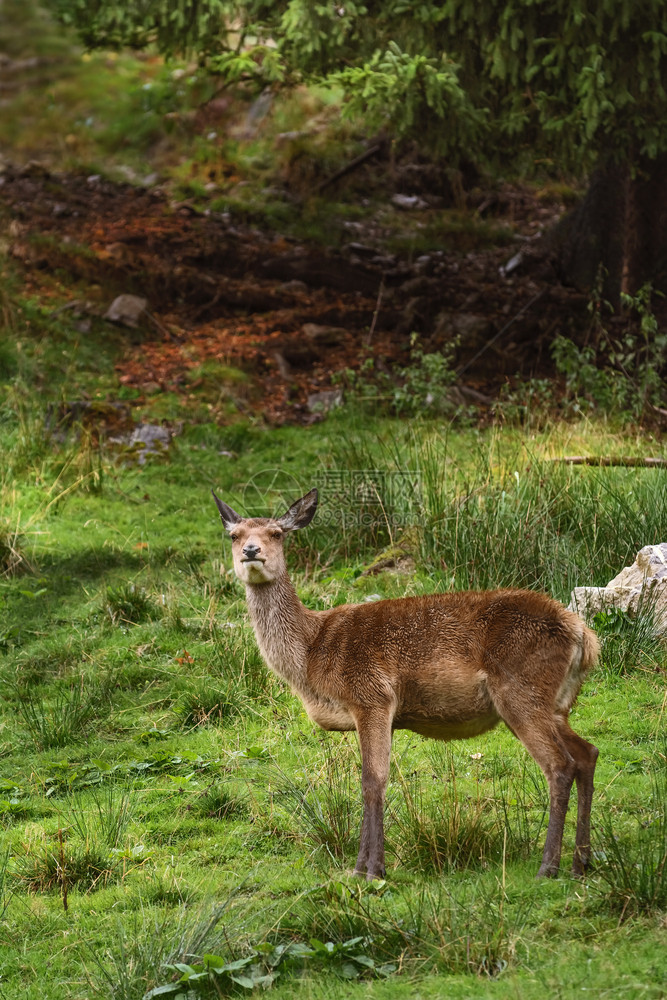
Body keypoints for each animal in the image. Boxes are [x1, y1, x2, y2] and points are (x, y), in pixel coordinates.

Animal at [213, 488, 600, 880]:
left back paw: (548, 866)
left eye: (277, 533)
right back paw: (580, 862)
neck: (311, 657)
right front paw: (365, 866)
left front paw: (370, 869)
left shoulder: (371, 696)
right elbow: (375, 779)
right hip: (557, 704)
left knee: (560, 765)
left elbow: (373, 780)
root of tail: (584, 637)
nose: (251, 550)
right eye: (234, 535)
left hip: (521, 691)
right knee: (587, 753)